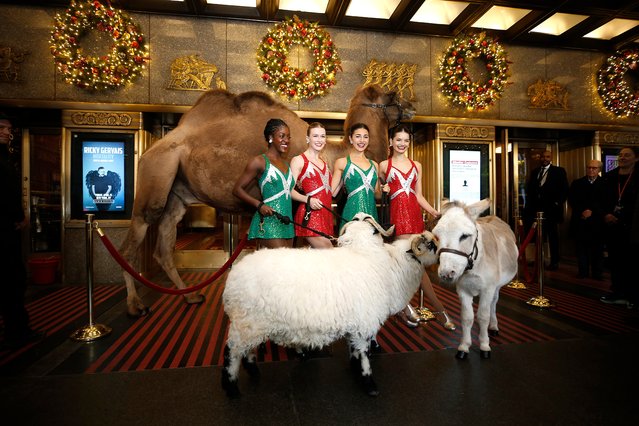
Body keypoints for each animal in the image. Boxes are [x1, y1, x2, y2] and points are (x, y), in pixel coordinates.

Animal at [120, 85, 418, 316]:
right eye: (393, 94)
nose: (412, 106)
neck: (331, 153)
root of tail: (154, 148)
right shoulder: (296, 210)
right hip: (157, 176)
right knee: (134, 238)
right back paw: (135, 305)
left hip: (177, 192)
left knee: (164, 243)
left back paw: (190, 296)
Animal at [221, 215, 440, 398]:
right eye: (430, 245)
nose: (440, 252)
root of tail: (233, 276)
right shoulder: (364, 322)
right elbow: (364, 354)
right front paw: (369, 384)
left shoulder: (355, 322)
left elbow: (354, 350)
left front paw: (355, 370)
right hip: (246, 321)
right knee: (232, 352)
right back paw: (231, 388)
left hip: (253, 323)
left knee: (246, 349)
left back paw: (253, 371)